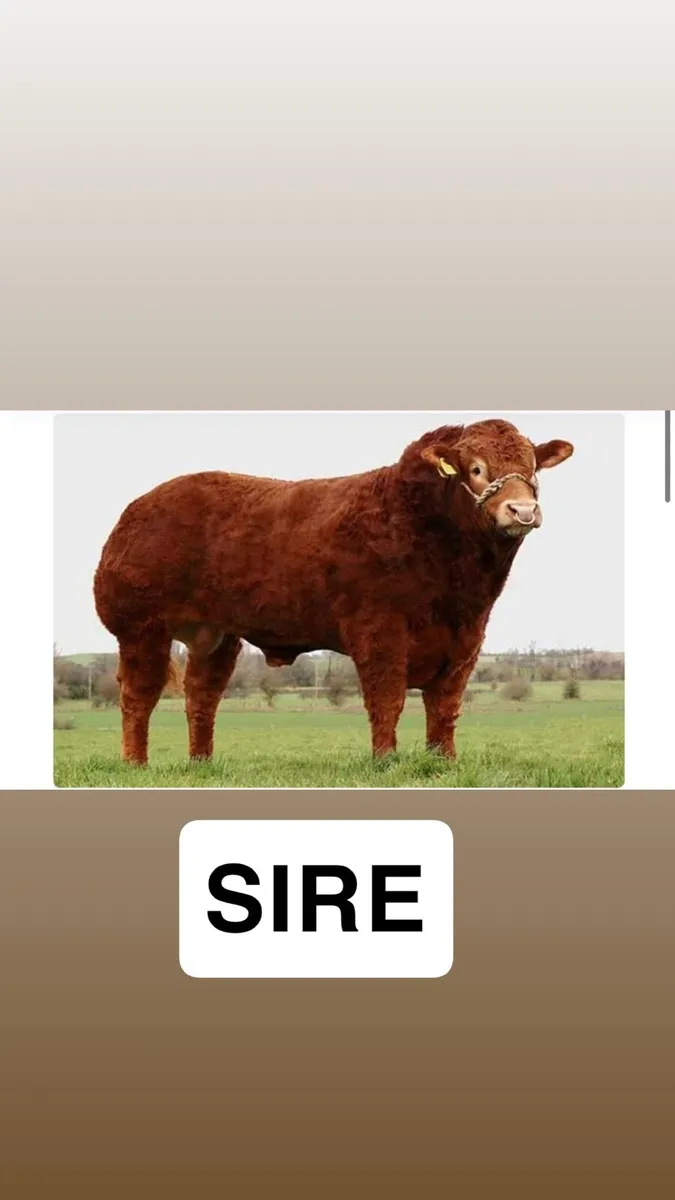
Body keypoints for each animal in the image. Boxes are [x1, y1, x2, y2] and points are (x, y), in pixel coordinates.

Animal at [93, 418, 573, 766]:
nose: (522, 509)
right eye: (476, 468)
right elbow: (387, 698)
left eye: (532, 468)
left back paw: (202, 763)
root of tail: (138, 508)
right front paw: (386, 762)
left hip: (217, 637)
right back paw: (136, 764)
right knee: (138, 696)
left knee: (201, 696)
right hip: (141, 629)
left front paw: (445, 761)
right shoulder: (378, 630)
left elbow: (444, 707)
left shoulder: (466, 639)